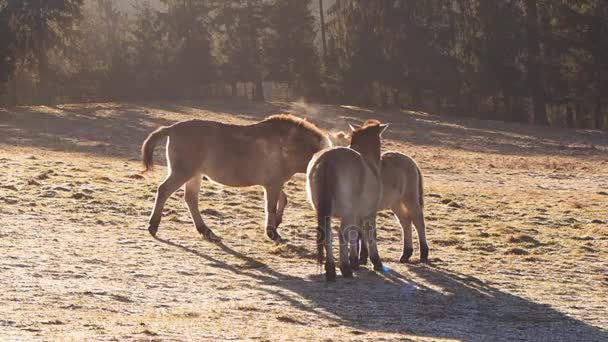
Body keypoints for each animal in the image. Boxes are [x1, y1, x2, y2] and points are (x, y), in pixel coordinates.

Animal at [306, 120, 388, 280]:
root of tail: (328, 160)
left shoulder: (356, 216)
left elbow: (355, 234)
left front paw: (354, 261)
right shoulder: (369, 214)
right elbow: (368, 234)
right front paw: (375, 262)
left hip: (326, 212)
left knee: (328, 234)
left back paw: (331, 269)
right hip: (347, 213)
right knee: (341, 234)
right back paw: (344, 268)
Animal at [330, 132, 430, 264]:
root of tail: (411, 161)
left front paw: (361, 258)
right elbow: (360, 232)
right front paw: (361, 257)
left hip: (410, 198)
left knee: (418, 222)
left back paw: (423, 254)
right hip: (395, 203)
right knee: (405, 222)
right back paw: (406, 254)